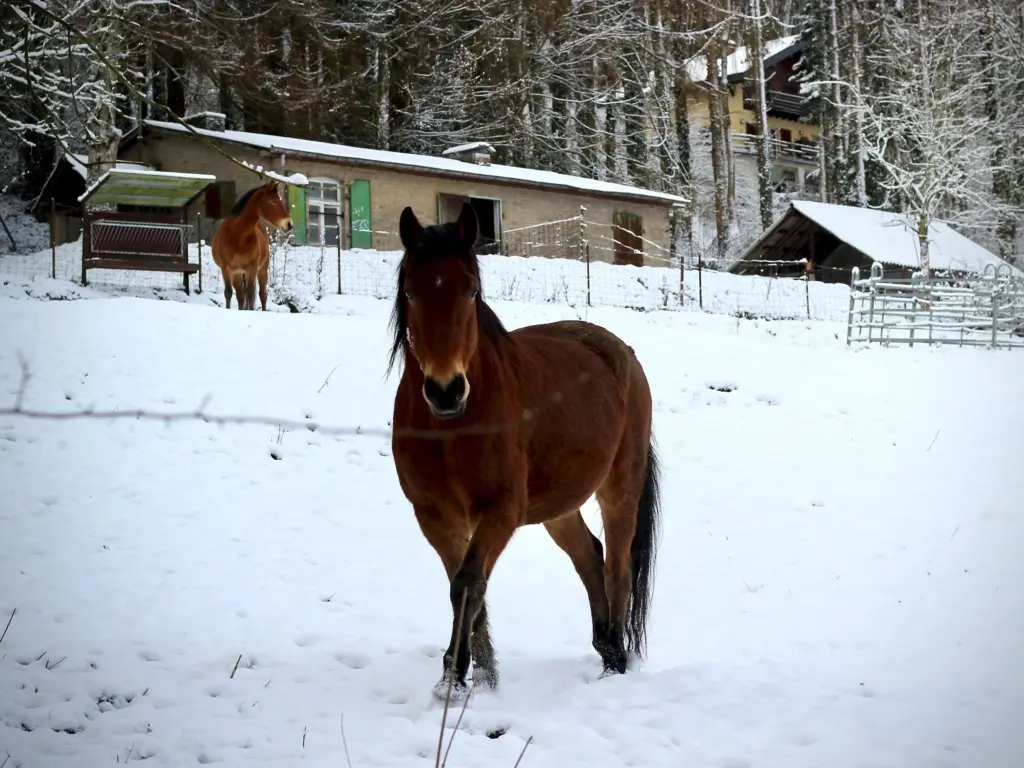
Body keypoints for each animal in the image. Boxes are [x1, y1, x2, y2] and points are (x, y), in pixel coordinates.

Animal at [211, 180, 293, 310]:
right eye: (274, 201)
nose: (289, 224)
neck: (237, 234)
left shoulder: (252, 267)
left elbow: (250, 294)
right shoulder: (227, 268)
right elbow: (229, 293)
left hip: (262, 270)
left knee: (262, 295)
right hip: (239, 273)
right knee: (241, 296)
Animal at [388, 202, 662, 701]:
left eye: (471, 290)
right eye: (412, 291)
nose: (445, 390)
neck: (454, 427)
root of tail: (622, 354)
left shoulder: (499, 511)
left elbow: (467, 585)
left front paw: (455, 674)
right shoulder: (434, 514)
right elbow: (465, 587)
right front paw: (477, 676)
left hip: (620, 488)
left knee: (616, 566)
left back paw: (615, 664)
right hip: (559, 507)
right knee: (590, 557)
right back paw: (606, 650)